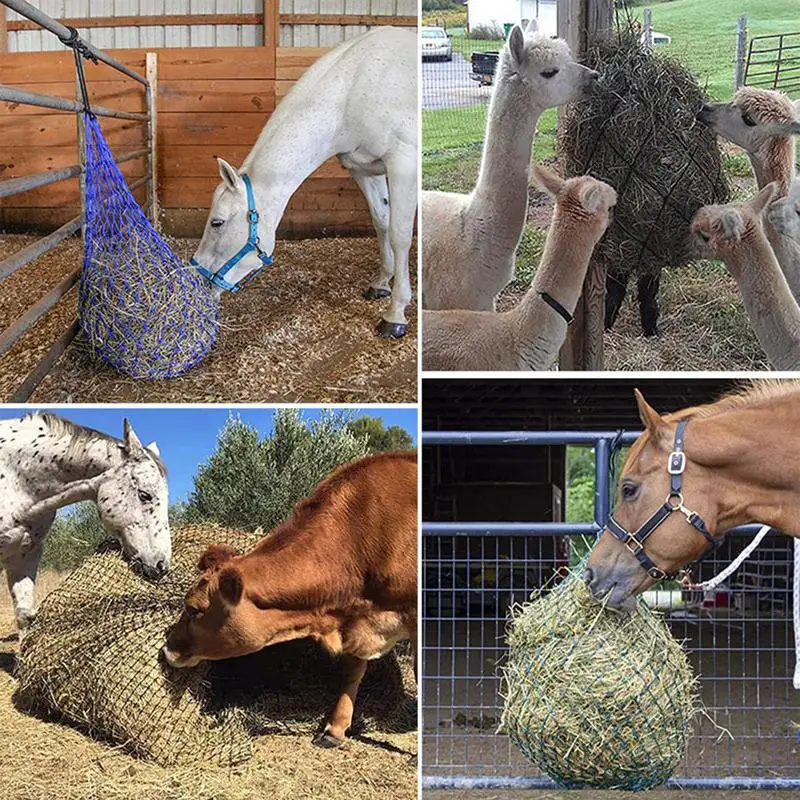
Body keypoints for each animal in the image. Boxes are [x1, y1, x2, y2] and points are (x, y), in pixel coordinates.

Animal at [190, 27, 418, 339]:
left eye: (217, 222)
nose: (198, 279)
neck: (353, 90)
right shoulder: (365, 170)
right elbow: (381, 221)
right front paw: (382, 282)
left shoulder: (403, 165)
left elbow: (400, 235)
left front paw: (395, 313)